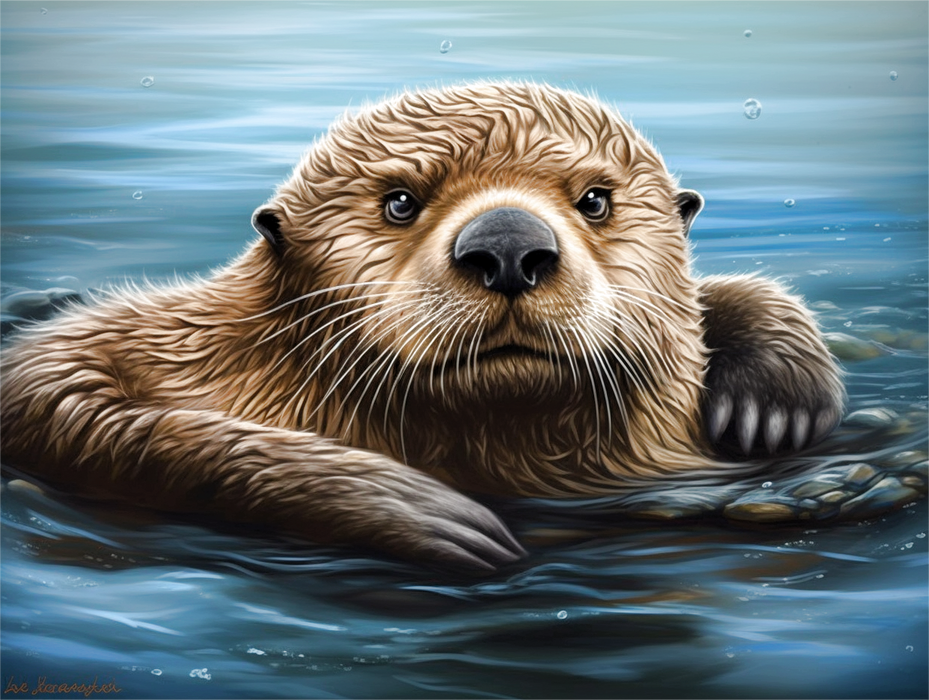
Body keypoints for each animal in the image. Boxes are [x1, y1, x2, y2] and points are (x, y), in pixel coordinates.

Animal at [0, 82, 844, 572]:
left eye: (595, 199)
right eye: (400, 201)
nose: (507, 245)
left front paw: (772, 401)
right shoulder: (165, 339)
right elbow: (49, 386)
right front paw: (414, 506)